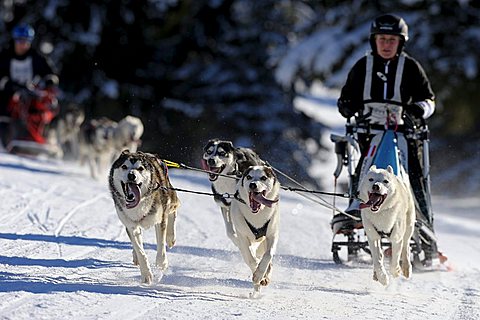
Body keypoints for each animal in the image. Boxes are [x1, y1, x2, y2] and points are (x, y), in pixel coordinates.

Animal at [109, 151, 180, 284]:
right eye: (124, 167)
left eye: (140, 168)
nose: (131, 175)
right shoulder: (131, 226)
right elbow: (140, 250)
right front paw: (146, 274)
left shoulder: (160, 219)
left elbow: (161, 243)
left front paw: (162, 263)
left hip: (170, 198)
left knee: (173, 211)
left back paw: (170, 237)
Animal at [230, 165, 280, 298]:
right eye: (249, 177)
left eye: (263, 177)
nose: (253, 185)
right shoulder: (243, 237)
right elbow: (251, 259)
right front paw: (258, 276)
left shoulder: (272, 234)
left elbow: (268, 255)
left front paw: (261, 273)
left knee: (268, 261)